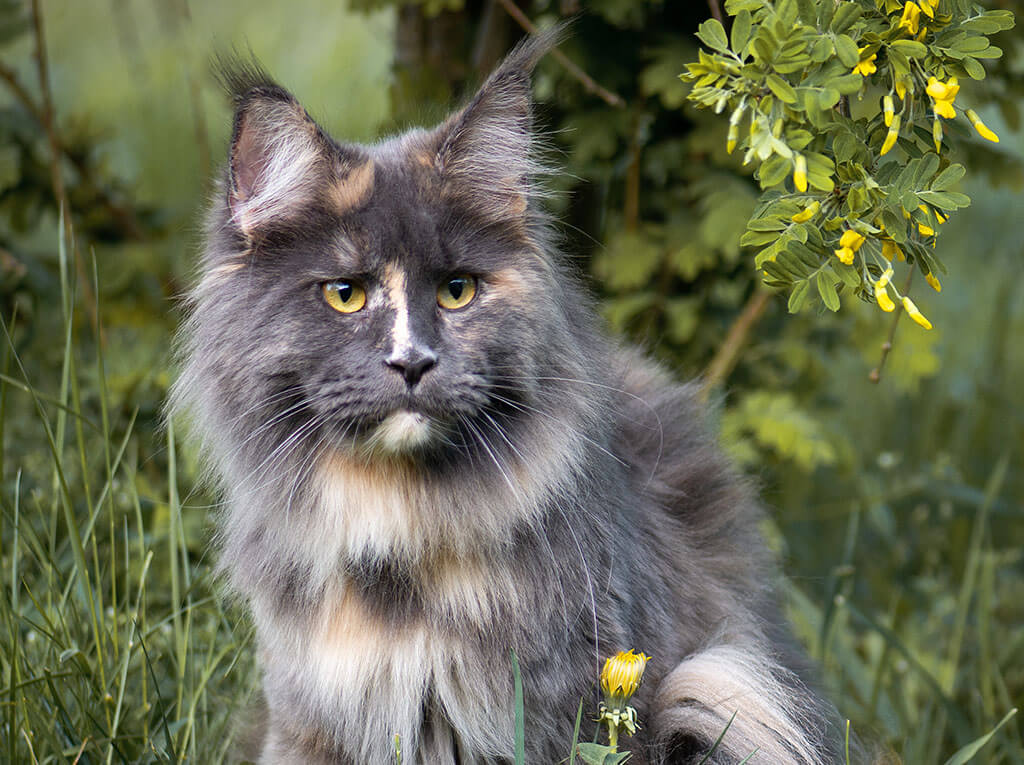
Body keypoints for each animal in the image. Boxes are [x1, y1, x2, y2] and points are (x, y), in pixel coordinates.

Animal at [172, 29, 843, 765]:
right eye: (344, 293)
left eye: (457, 291)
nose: (412, 361)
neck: (400, 529)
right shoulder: (308, 719)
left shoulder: (576, 711)